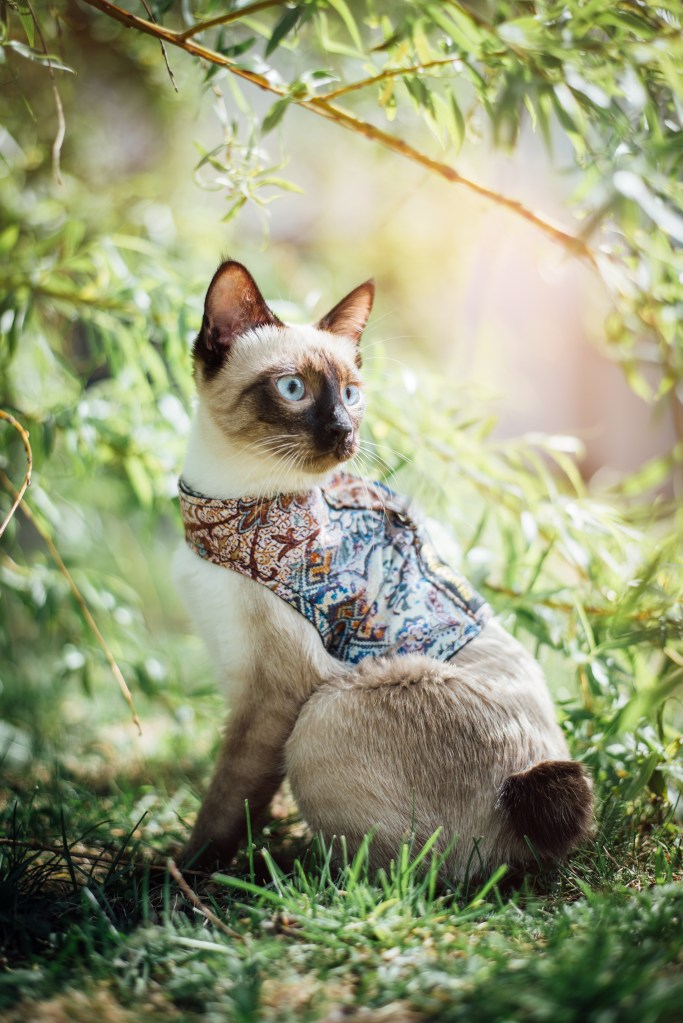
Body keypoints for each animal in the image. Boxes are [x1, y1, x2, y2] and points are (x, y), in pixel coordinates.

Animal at [173, 259, 593, 877]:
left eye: (351, 394)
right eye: (293, 389)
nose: (344, 432)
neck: (227, 503)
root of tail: (522, 793)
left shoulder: (271, 699)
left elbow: (226, 803)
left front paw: (179, 873)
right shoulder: (238, 681)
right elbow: (243, 797)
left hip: (323, 715)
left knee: (398, 875)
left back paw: (289, 873)